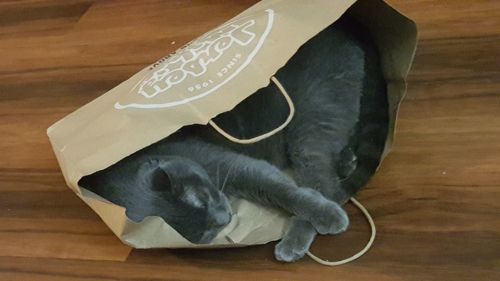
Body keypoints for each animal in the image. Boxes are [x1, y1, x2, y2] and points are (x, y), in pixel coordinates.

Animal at [80, 14, 388, 260]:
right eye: (206, 233)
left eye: (202, 199)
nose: (224, 217)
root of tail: (349, 27)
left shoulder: (231, 164)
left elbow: (282, 190)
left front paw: (323, 214)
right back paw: (346, 162)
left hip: (313, 116)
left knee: (322, 180)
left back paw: (304, 234)